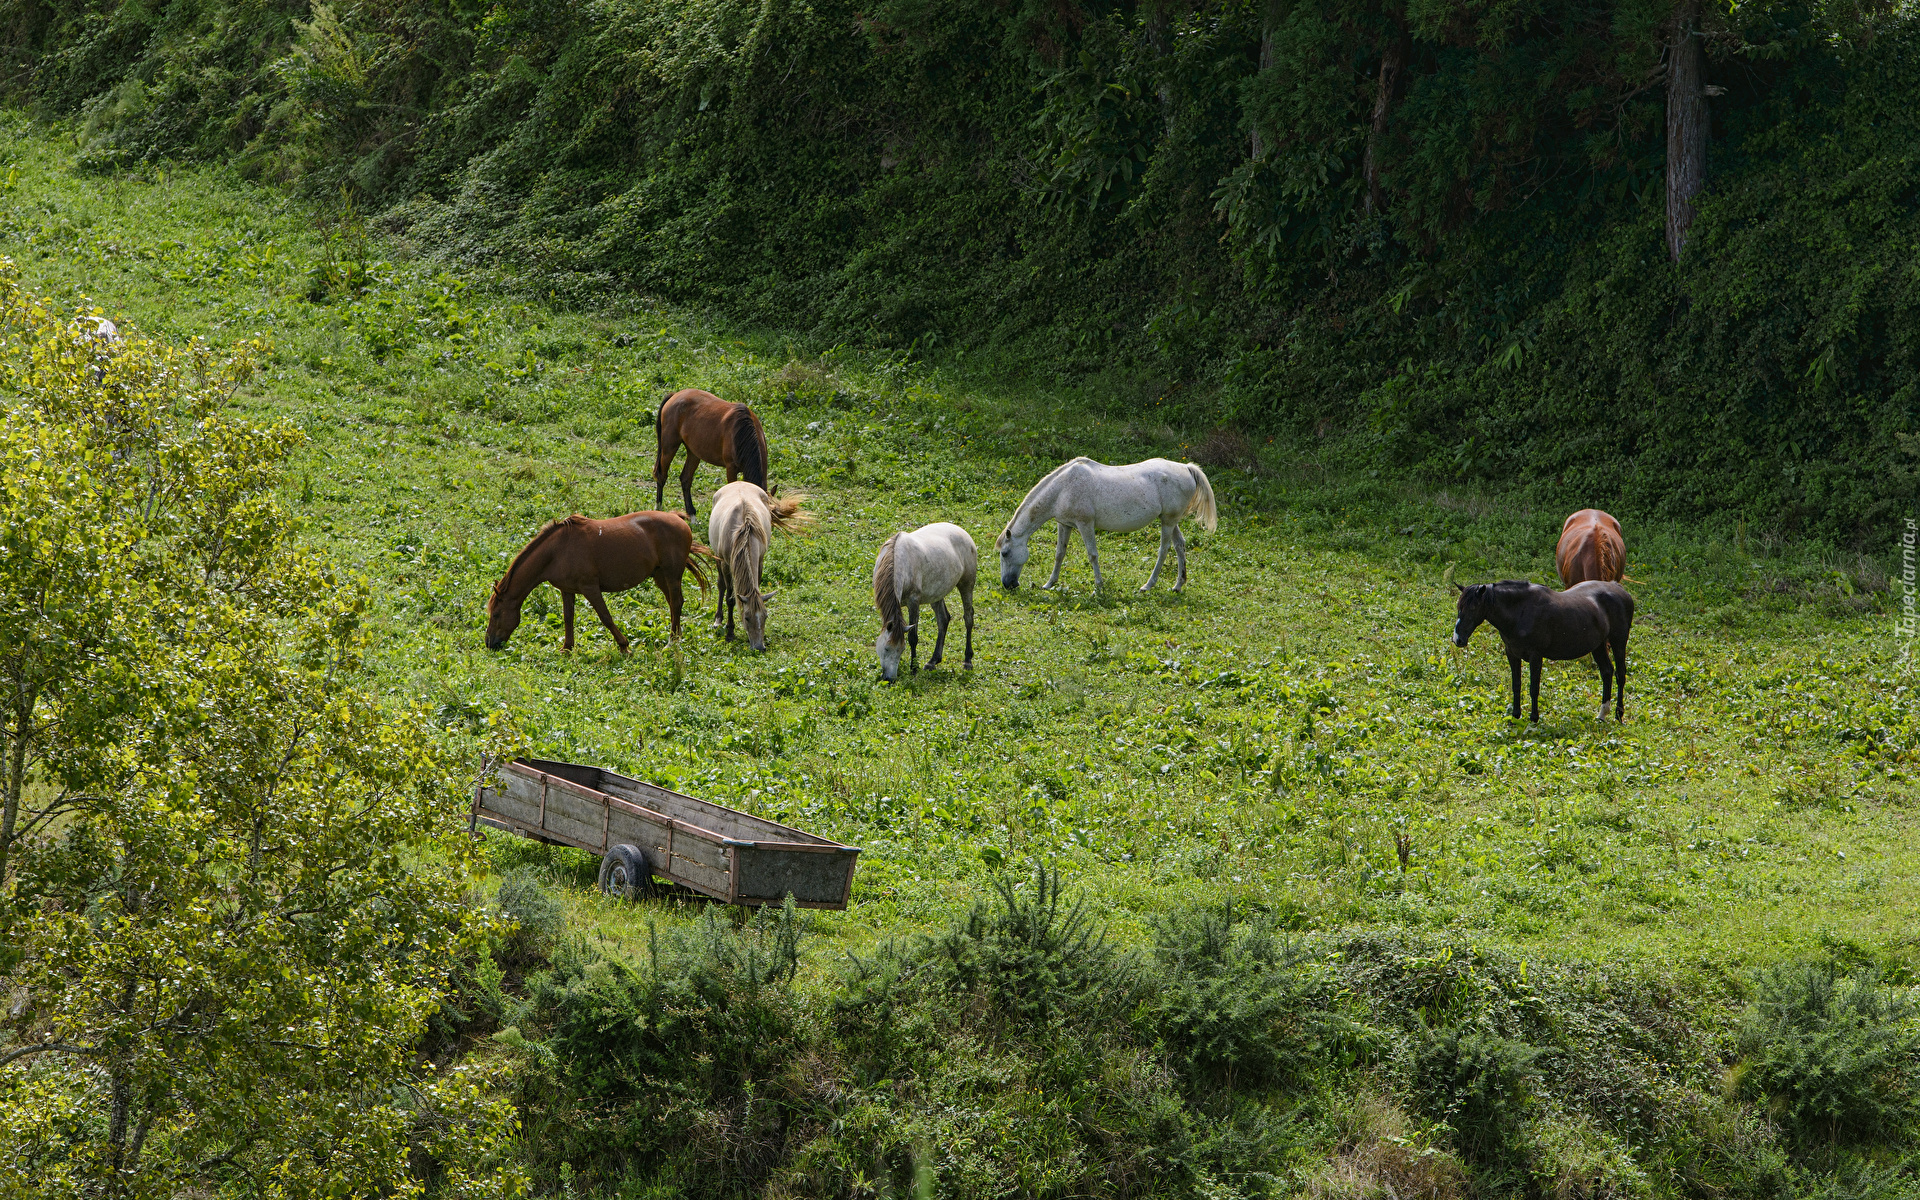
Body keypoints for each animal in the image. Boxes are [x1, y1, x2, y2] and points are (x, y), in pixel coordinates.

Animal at [487, 506, 714, 656]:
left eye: (496, 614)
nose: (489, 642)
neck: (557, 551)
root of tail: (678, 518)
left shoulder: (590, 588)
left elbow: (605, 617)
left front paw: (624, 646)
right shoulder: (567, 590)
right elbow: (568, 618)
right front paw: (567, 648)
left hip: (672, 574)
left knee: (676, 603)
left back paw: (671, 642)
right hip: (660, 576)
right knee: (674, 604)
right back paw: (676, 637)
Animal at [706, 480, 810, 648]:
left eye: (765, 616)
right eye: (747, 617)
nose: (759, 647)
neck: (743, 532)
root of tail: (738, 482)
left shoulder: (760, 559)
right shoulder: (726, 564)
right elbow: (730, 598)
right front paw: (730, 631)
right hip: (717, 557)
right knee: (721, 585)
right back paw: (718, 620)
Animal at [990, 456, 1213, 591]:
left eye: (1005, 553)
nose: (1008, 584)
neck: (1063, 488)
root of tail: (1186, 467)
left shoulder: (1085, 524)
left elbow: (1092, 555)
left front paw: (1098, 586)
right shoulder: (1064, 524)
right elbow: (1059, 554)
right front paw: (1049, 584)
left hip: (1168, 522)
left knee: (1164, 550)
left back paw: (1147, 585)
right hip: (1170, 520)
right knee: (1179, 545)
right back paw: (1178, 585)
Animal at [1451, 579, 1635, 721]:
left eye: (1473, 608)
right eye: (1458, 606)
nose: (1457, 639)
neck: (1521, 612)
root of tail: (1619, 589)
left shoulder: (1535, 656)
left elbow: (1534, 687)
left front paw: (1534, 718)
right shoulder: (1512, 654)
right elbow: (1516, 685)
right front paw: (1515, 716)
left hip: (1619, 641)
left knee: (1620, 674)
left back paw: (1619, 714)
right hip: (1598, 646)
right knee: (1606, 672)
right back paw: (1602, 714)